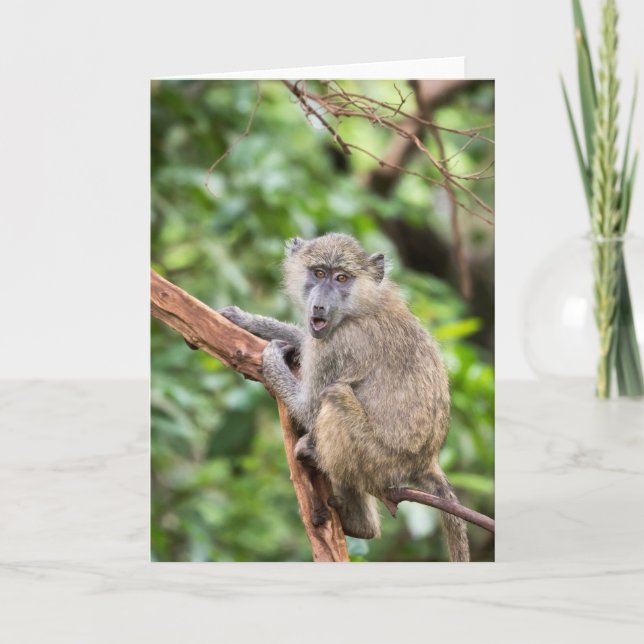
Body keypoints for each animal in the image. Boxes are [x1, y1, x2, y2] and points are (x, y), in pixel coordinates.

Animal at [220, 233, 470, 562]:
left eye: (342, 278)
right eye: (319, 273)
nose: (320, 306)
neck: (360, 306)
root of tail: (426, 460)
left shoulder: (337, 346)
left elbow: (309, 408)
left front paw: (270, 358)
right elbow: (304, 340)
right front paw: (248, 320)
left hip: (377, 460)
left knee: (335, 397)